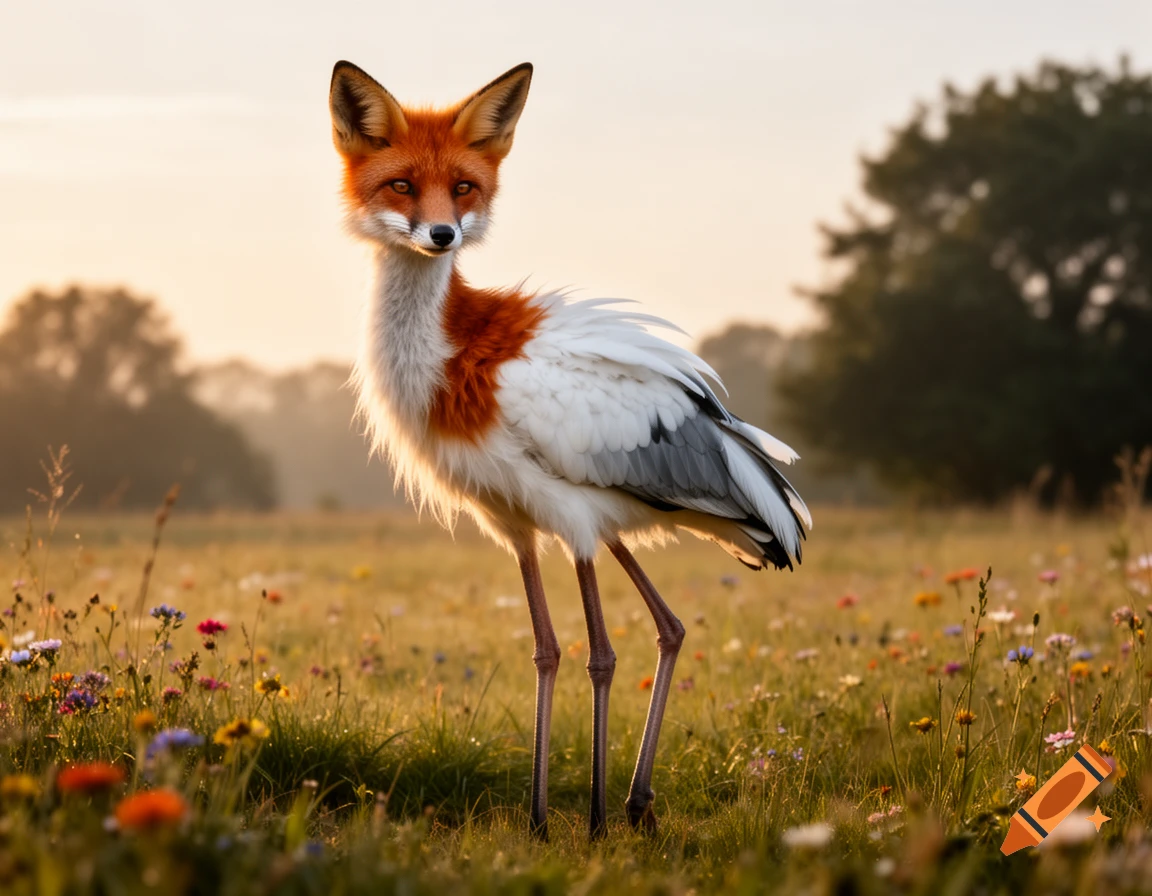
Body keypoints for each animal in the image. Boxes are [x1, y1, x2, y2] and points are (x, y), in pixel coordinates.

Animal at [329, 62, 809, 839]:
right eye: (399, 183)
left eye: (464, 186)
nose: (441, 235)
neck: (449, 348)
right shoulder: (515, 524)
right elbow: (547, 649)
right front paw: (536, 822)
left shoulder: (573, 524)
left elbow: (599, 655)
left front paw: (585, 824)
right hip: (621, 520)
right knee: (671, 627)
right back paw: (637, 804)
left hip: (619, 515)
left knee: (635, 639)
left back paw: (613, 814)